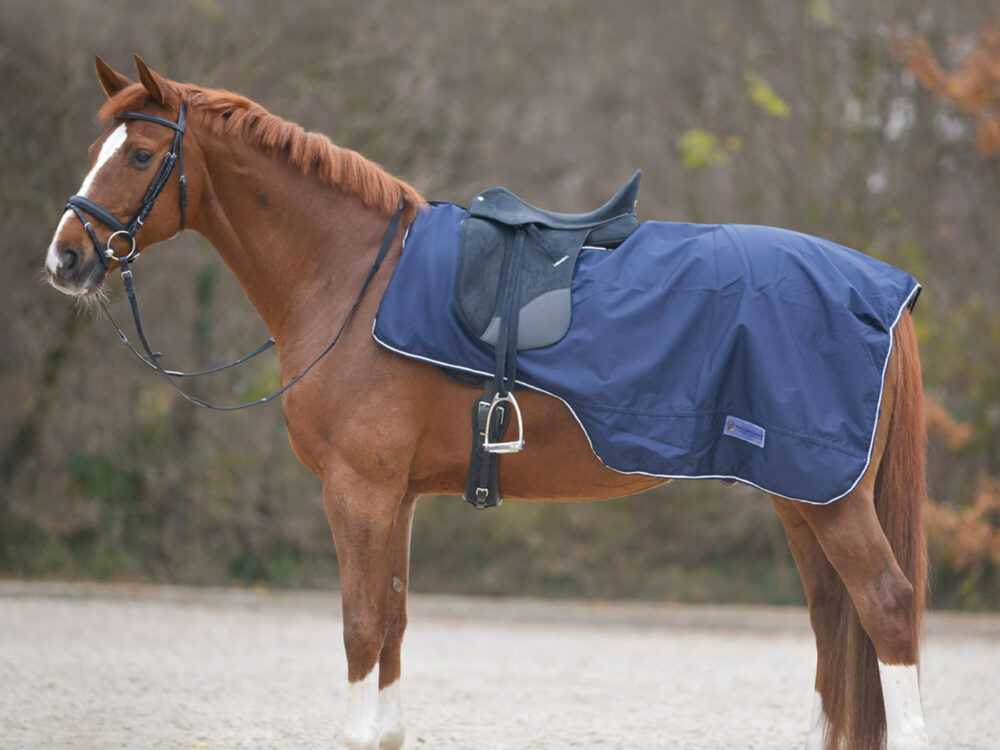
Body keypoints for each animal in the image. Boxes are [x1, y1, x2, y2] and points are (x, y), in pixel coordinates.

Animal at [44, 56, 929, 750]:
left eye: (142, 154)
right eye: (94, 151)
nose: (65, 258)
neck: (352, 278)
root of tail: (881, 293)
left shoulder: (358, 493)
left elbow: (361, 627)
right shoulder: (395, 498)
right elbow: (394, 625)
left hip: (830, 500)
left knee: (885, 610)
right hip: (799, 497)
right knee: (831, 620)